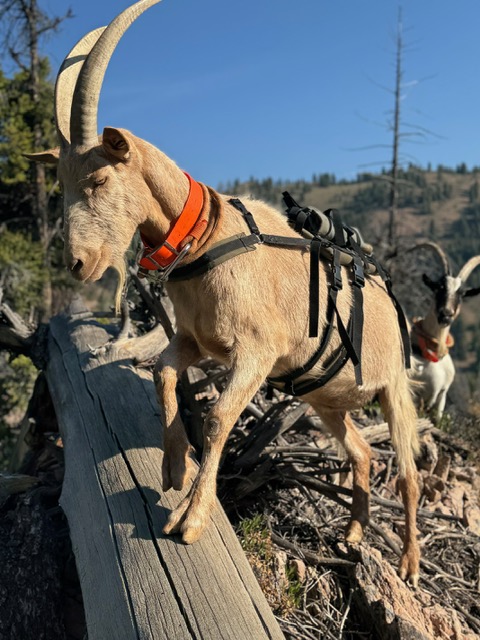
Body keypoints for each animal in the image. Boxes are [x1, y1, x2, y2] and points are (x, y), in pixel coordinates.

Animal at [26, 0, 421, 585]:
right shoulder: (196, 341)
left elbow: (215, 420)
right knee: (361, 454)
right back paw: (352, 535)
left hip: (394, 387)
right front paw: (172, 468)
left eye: (97, 182)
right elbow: (164, 374)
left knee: (409, 474)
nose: (79, 263)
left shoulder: (256, 353)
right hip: (325, 400)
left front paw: (189, 518)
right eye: (62, 187)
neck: (206, 236)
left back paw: (410, 562)